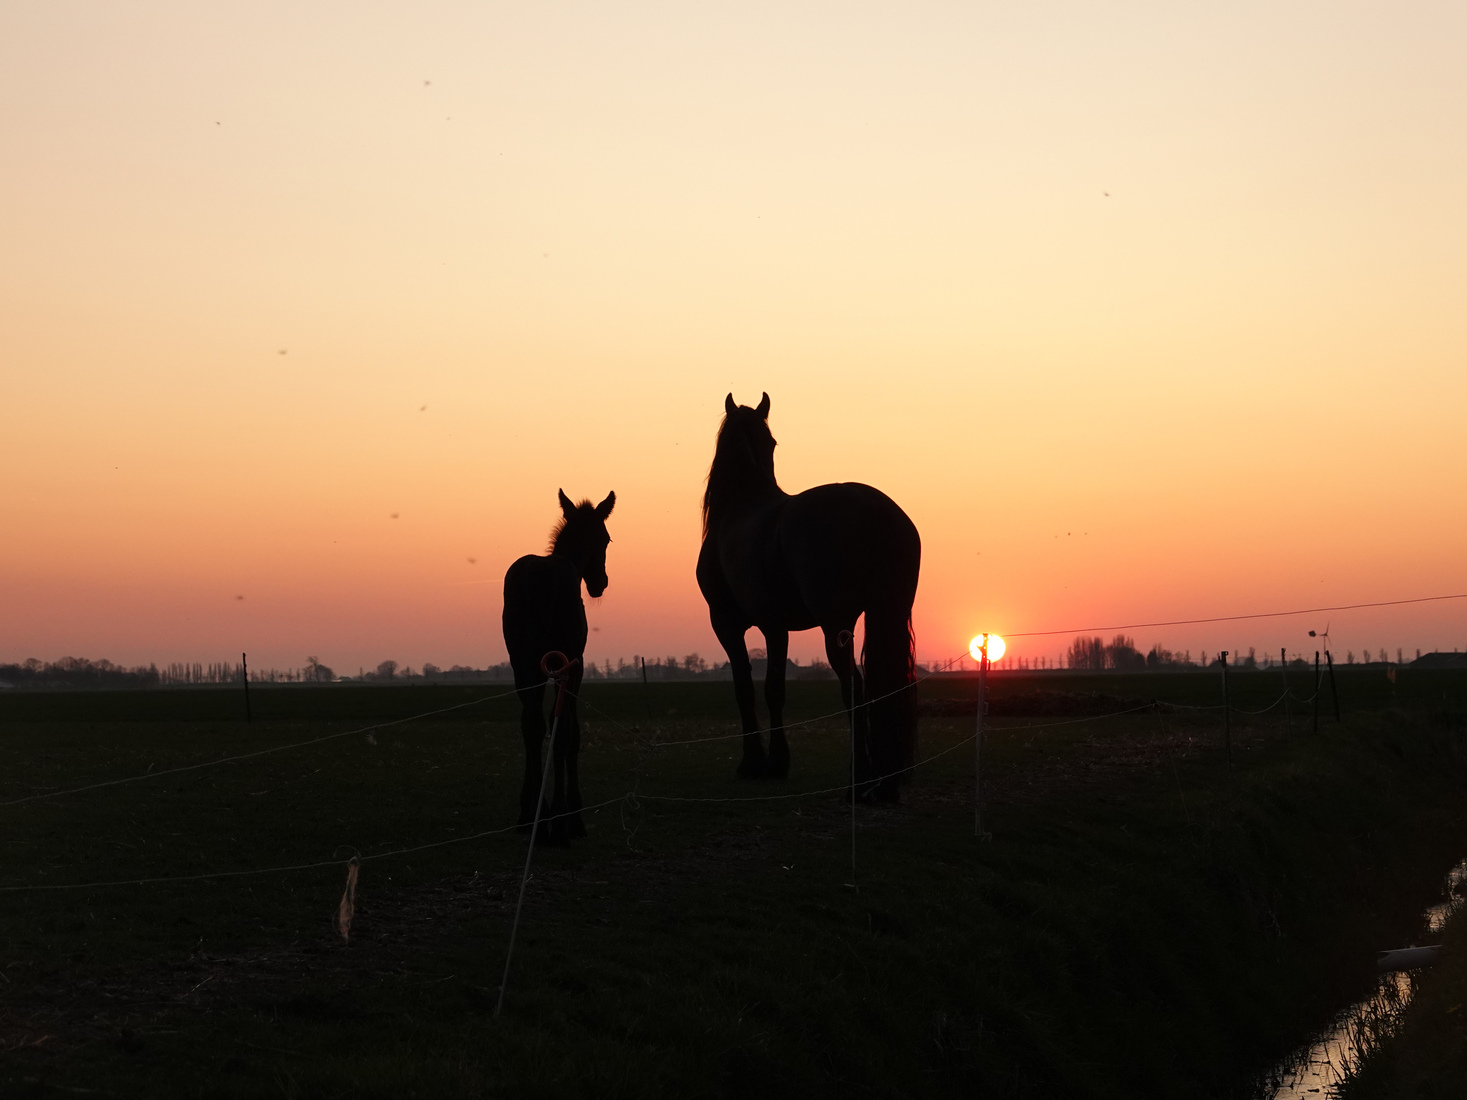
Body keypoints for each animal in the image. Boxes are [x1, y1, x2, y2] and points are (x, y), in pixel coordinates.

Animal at [502, 489, 615, 842]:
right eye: (605, 538)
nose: (600, 582)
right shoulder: (575, 664)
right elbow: (569, 731)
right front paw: (570, 815)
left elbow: (545, 725)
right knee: (555, 727)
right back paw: (557, 818)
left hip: (523, 663)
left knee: (531, 724)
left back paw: (530, 815)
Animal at [696, 393, 920, 801]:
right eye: (771, 442)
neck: (738, 506)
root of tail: (872, 508)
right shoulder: (775, 627)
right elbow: (774, 689)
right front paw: (777, 763)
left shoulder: (727, 624)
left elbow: (745, 688)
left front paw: (755, 763)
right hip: (888, 612)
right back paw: (884, 781)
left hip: (837, 625)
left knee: (854, 686)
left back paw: (861, 779)